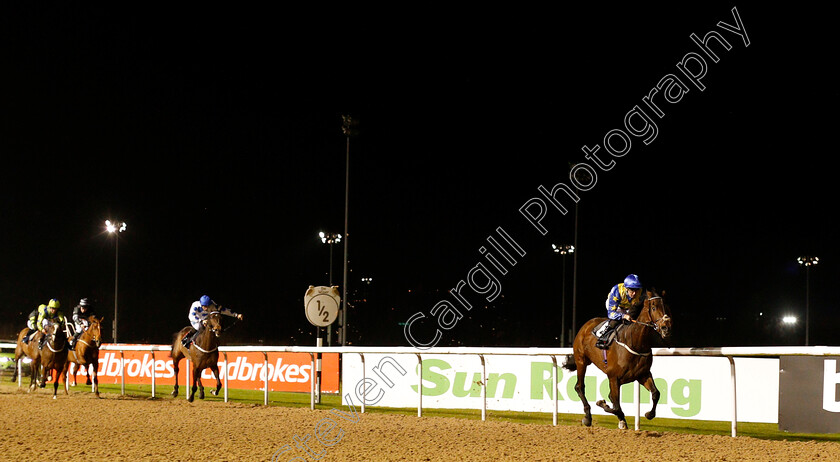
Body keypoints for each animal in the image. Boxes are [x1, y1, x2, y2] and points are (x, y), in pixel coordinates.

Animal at [560, 288, 672, 430]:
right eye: (653, 307)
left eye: (666, 307)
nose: (666, 327)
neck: (635, 342)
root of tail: (586, 326)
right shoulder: (613, 377)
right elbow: (616, 406)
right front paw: (602, 404)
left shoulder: (643, 374)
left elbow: (656, 393)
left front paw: (648, 414)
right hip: (581, 360)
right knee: (579, 387)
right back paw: (587, 417)